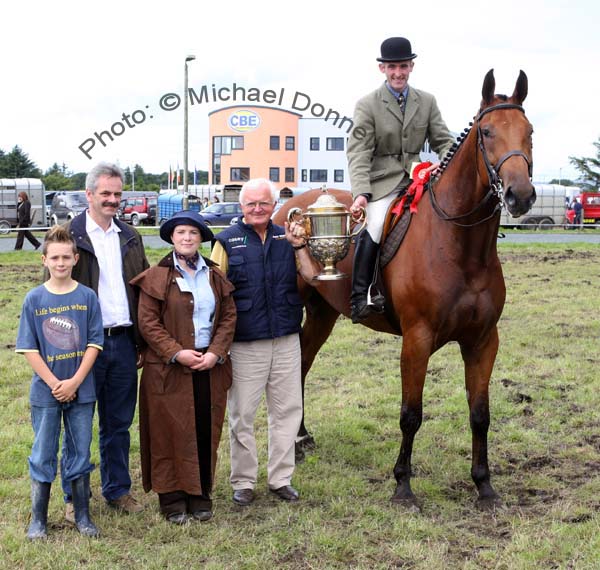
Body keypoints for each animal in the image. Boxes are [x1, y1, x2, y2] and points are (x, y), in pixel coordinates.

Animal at [274, 69, 536, 508]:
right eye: (486, 133)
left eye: (529, 131)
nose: (521, 195)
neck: (461, 247)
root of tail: (288, 209)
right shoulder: (417, 338)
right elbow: (411, 414)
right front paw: (402, 486)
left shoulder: (484, 340)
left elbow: (480, 414)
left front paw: (484, 485)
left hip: (324, 314)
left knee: (303, 363)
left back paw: (302, 437)